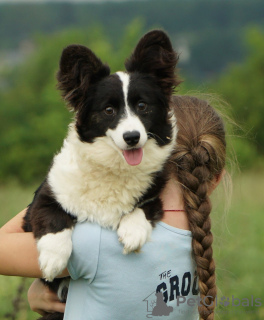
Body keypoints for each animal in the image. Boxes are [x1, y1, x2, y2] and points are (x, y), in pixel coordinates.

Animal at [22, 28, 180, 318]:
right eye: (109, 110)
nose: (132, 137)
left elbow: (144, 207)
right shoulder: (45, 197)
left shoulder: (155, 194)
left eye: (142, 106)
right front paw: (52, 260)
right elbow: (53, 218)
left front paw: (132, 233)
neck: (114, 168)